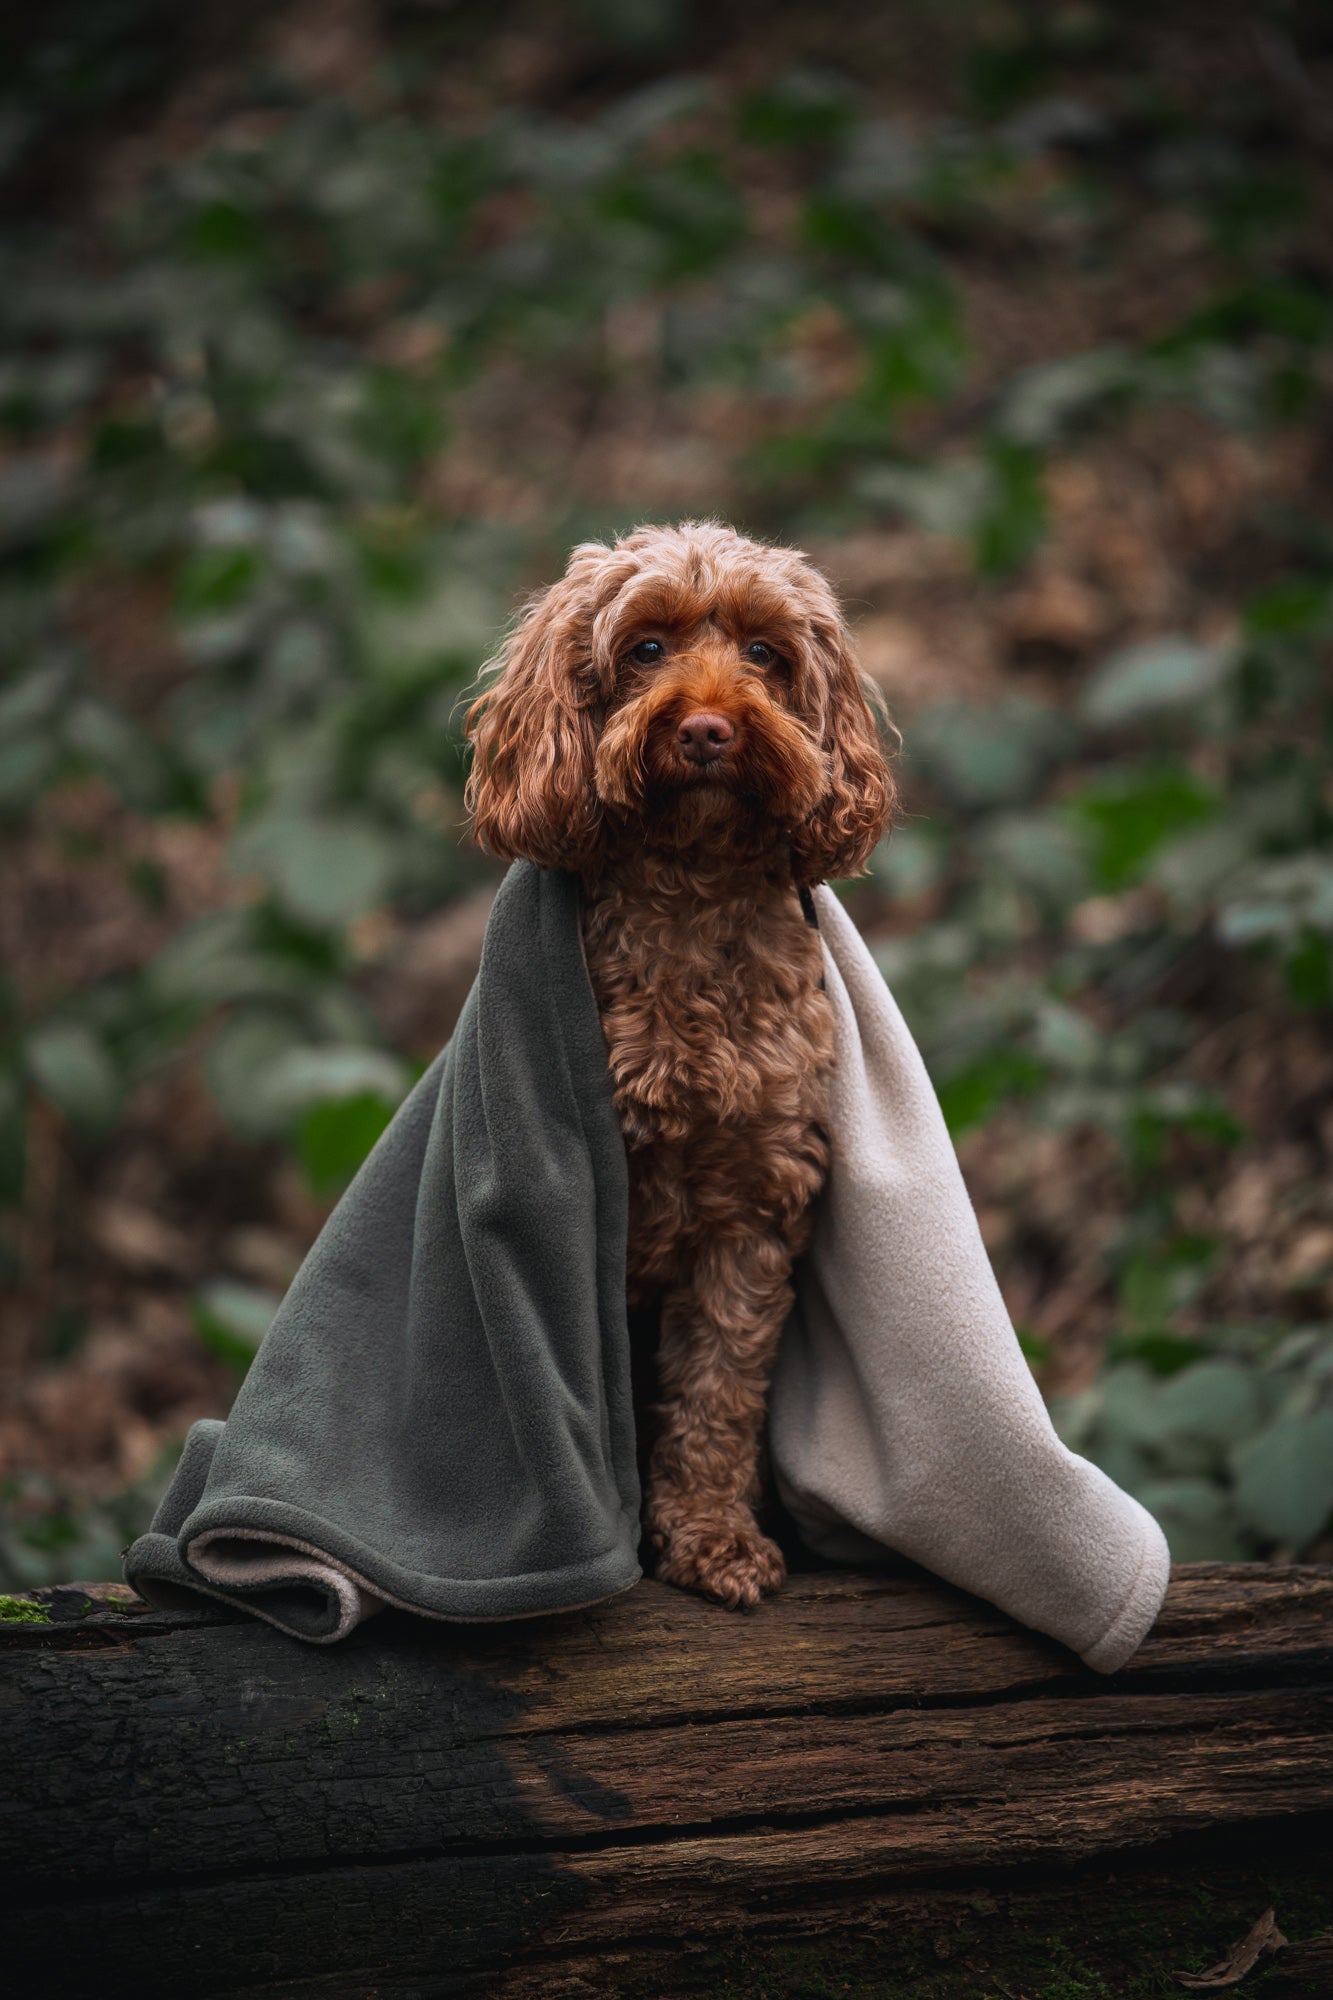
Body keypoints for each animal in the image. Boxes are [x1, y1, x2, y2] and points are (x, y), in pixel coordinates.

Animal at [464, 520, 892, 1608]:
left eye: (765, 653)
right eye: (646, 647)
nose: (706, 731)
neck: (691, 906)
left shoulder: (753, 1210)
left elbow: (717, 1395)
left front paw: (711, 1541)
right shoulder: (583, 1202)